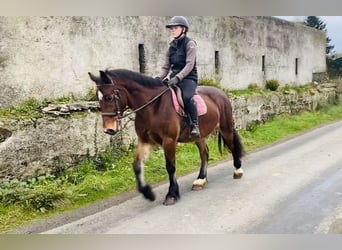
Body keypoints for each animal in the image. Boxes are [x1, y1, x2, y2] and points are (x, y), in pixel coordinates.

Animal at [88, 68, 243, 205]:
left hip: (226, 127)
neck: (153, 107)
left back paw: (238, 171)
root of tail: (221, 93)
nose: (108, 129)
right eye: (98, 98)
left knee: (231, 145)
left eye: (109, 97)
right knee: (204, 153)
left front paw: (172, 194)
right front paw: (147, 193)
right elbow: (137, 166)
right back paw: (200, 180)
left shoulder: (169, 141)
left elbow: (170, 167)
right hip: (199, 136)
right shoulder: (145, 141)